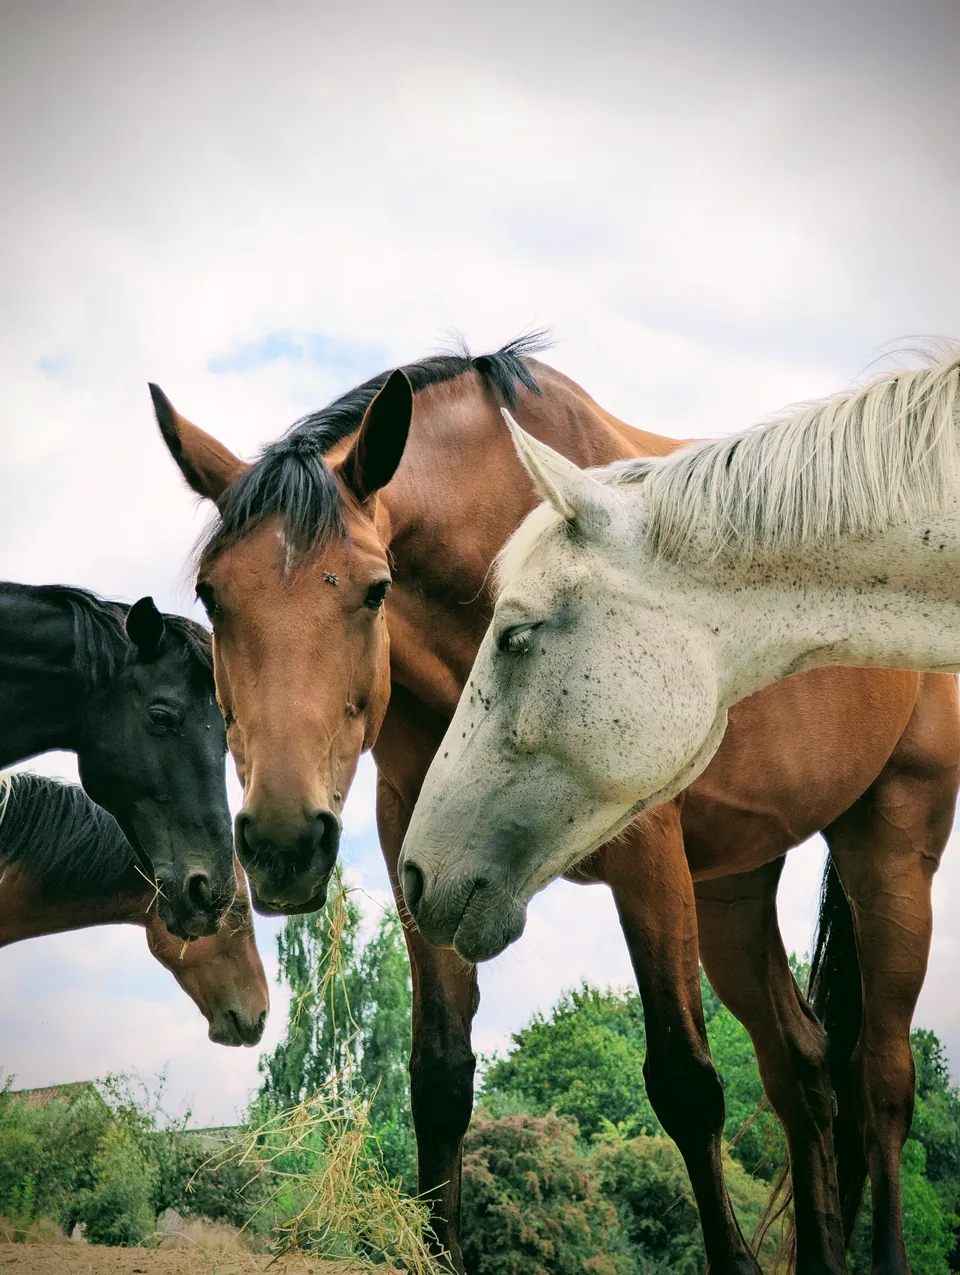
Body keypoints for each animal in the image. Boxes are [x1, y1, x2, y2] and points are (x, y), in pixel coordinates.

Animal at [149, 339, 960, 1275]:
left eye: (374, 589)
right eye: (212, 595)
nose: (283, 844)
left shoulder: (645, 849)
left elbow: (686, 1081)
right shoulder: (418, 845)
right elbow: (439, 1079)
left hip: (891, 850)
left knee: (882, 1083)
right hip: (734, 890)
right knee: (804, 1070)